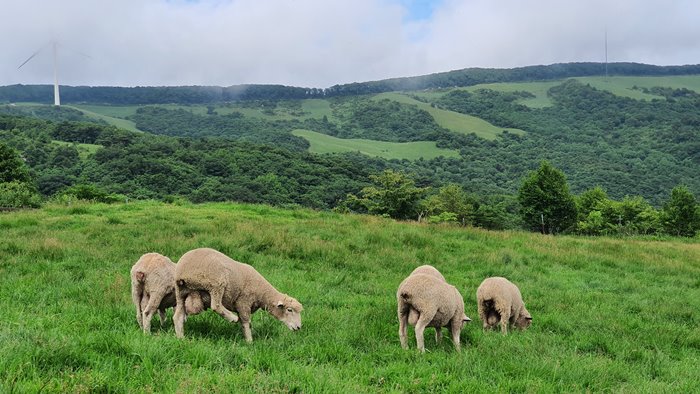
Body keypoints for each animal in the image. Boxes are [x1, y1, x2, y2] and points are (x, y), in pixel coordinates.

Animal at [173, 248, 304, 344]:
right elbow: (246, 322)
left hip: (181, 292)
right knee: (216, 305)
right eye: (289, 310)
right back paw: (232, 318)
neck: (262, 293)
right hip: (216, 283)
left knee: (177, 316)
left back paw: (181, 338)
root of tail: (182, 270)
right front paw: (249, 341)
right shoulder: (243, 302)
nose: (298, 328)